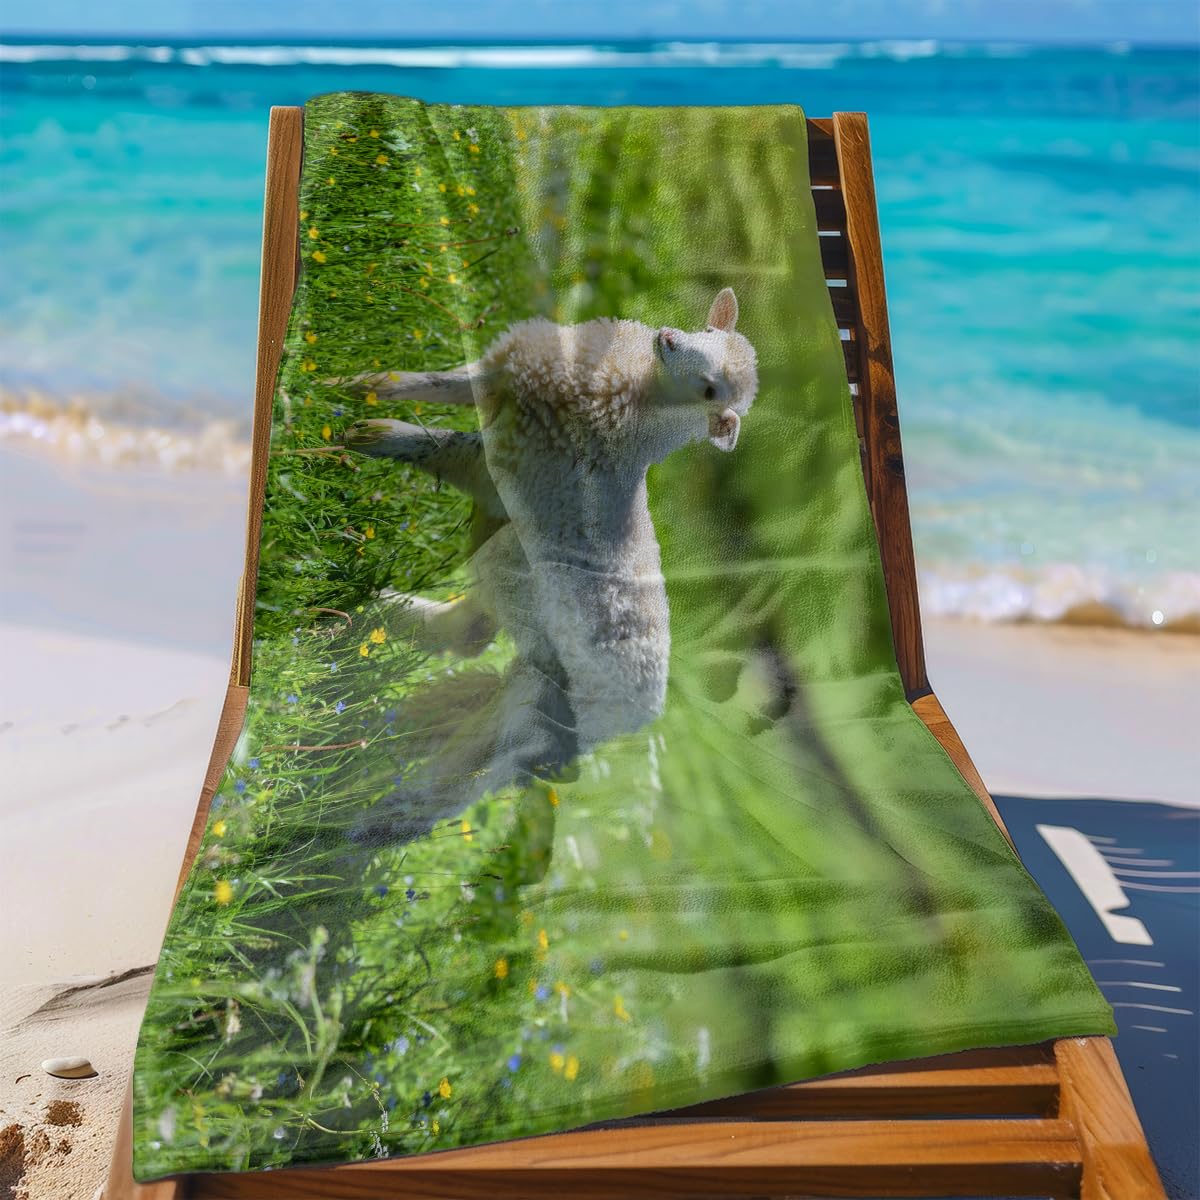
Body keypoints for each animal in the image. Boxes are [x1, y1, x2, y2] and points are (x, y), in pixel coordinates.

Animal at [340, 287, 758, 844]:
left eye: (712, 390)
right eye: (706, 334)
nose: (667, 338)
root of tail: (627, 727)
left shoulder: (510, 452)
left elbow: (438, 438)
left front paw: (368, 433)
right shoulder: (507, 385)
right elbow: (424, 383)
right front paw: (350, 387)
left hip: (523, 723)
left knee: (422, 802)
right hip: (524, 644)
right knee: (466, 637)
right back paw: (354, 621)